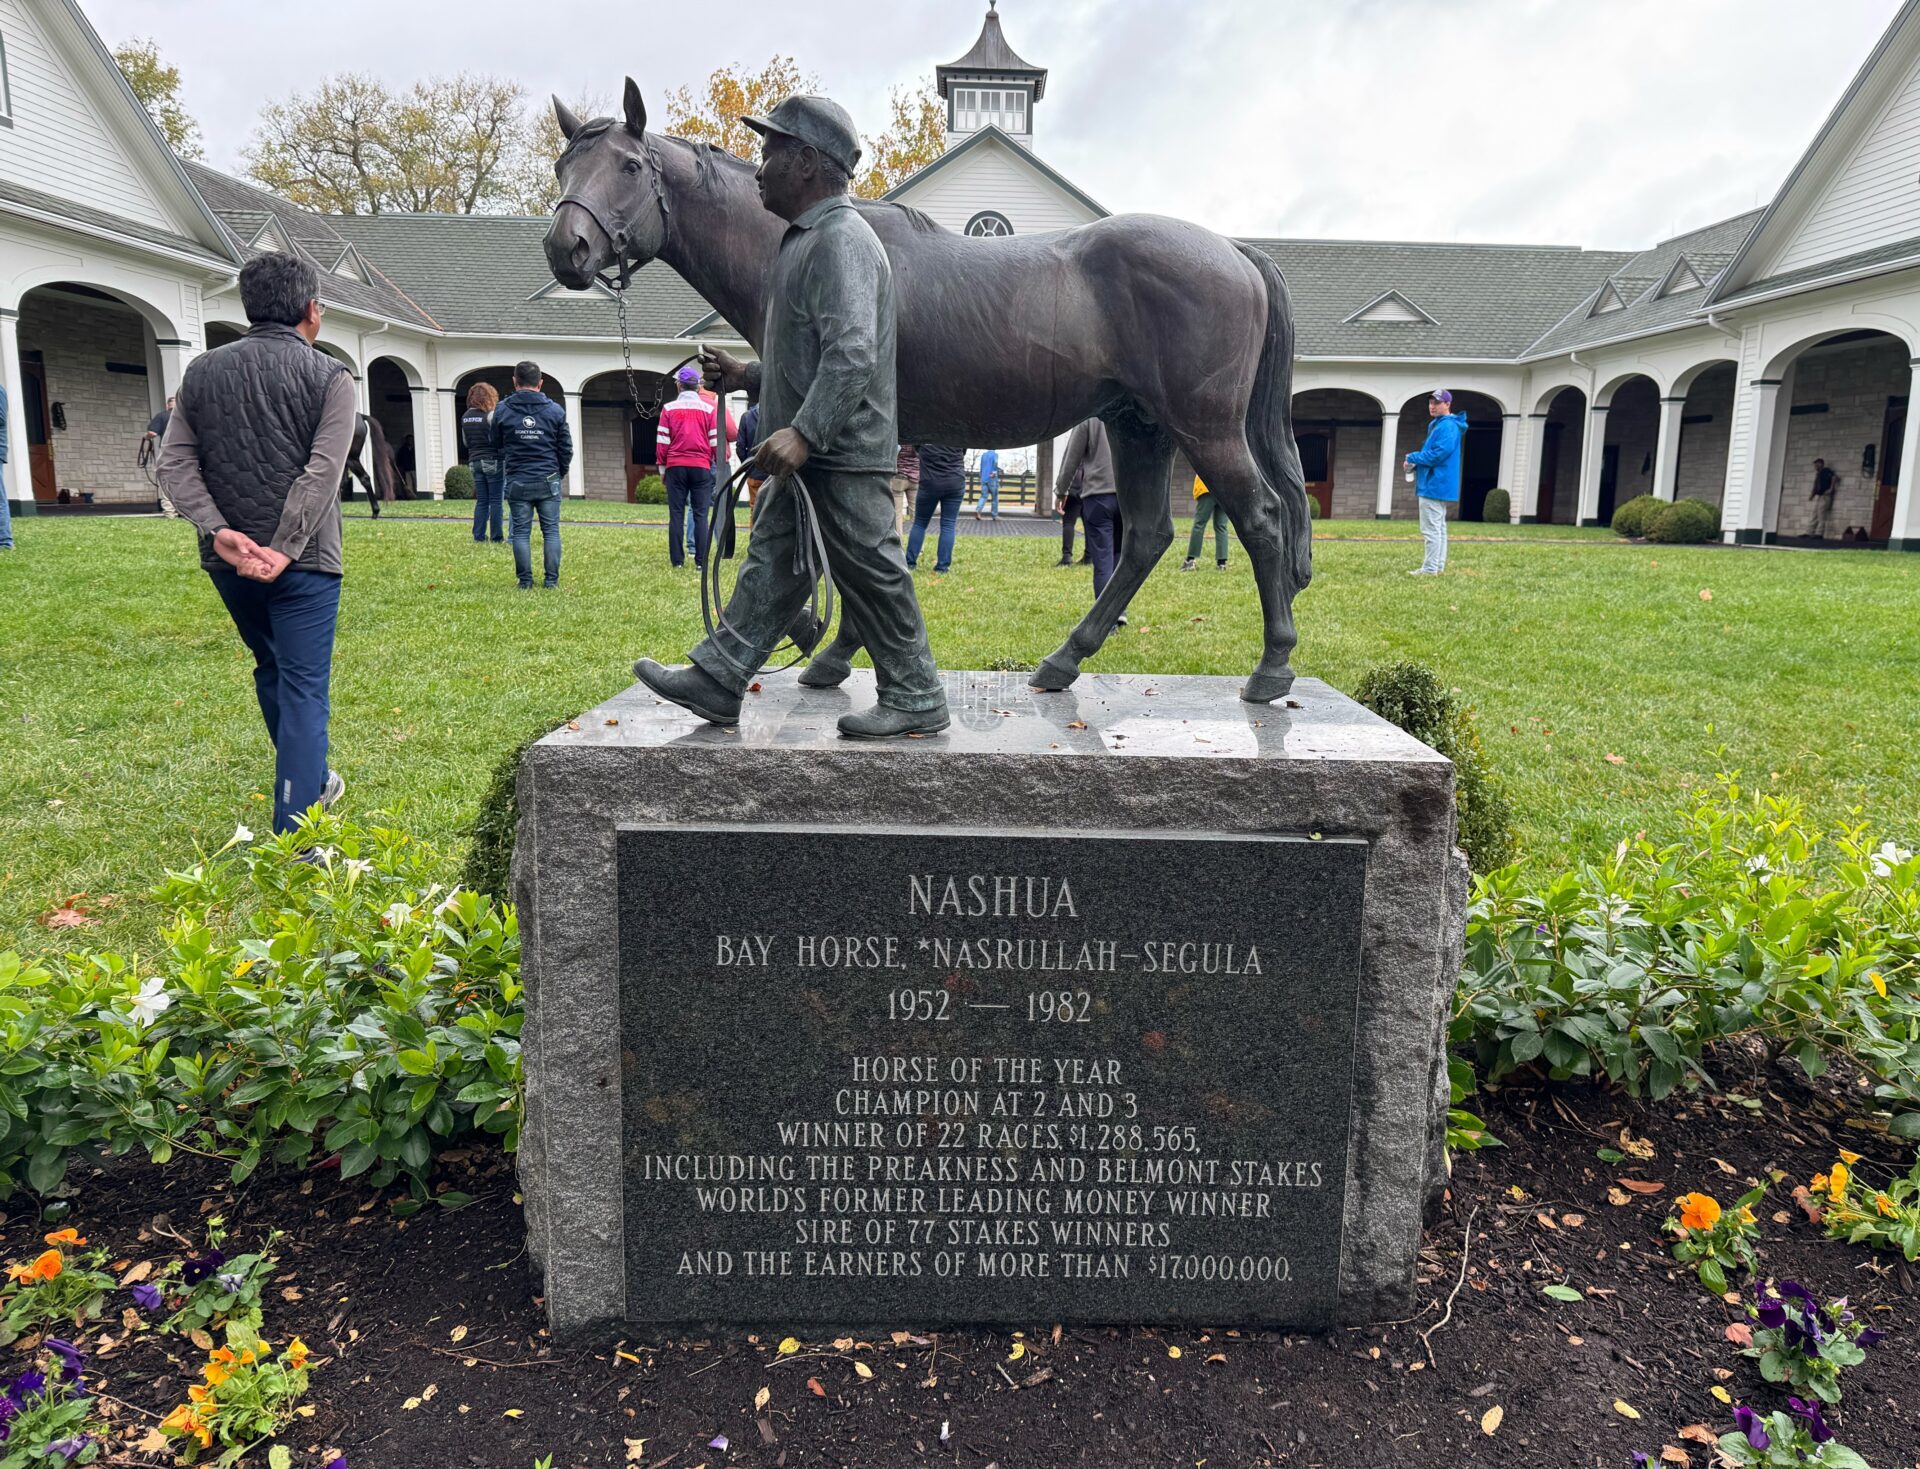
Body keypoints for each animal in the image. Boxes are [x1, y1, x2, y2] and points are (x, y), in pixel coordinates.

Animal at [549, 83, 1313, 702]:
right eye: (563, 166)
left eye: (626, 166)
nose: (567, 249)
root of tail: (1233, 251)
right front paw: (832, 647)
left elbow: (849, 542)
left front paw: (831, 647)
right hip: (1138, 426)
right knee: (1149, 536)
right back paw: (1063, 661)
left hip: (1204, 427)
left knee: (1261, 518)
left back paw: (1271, 669)